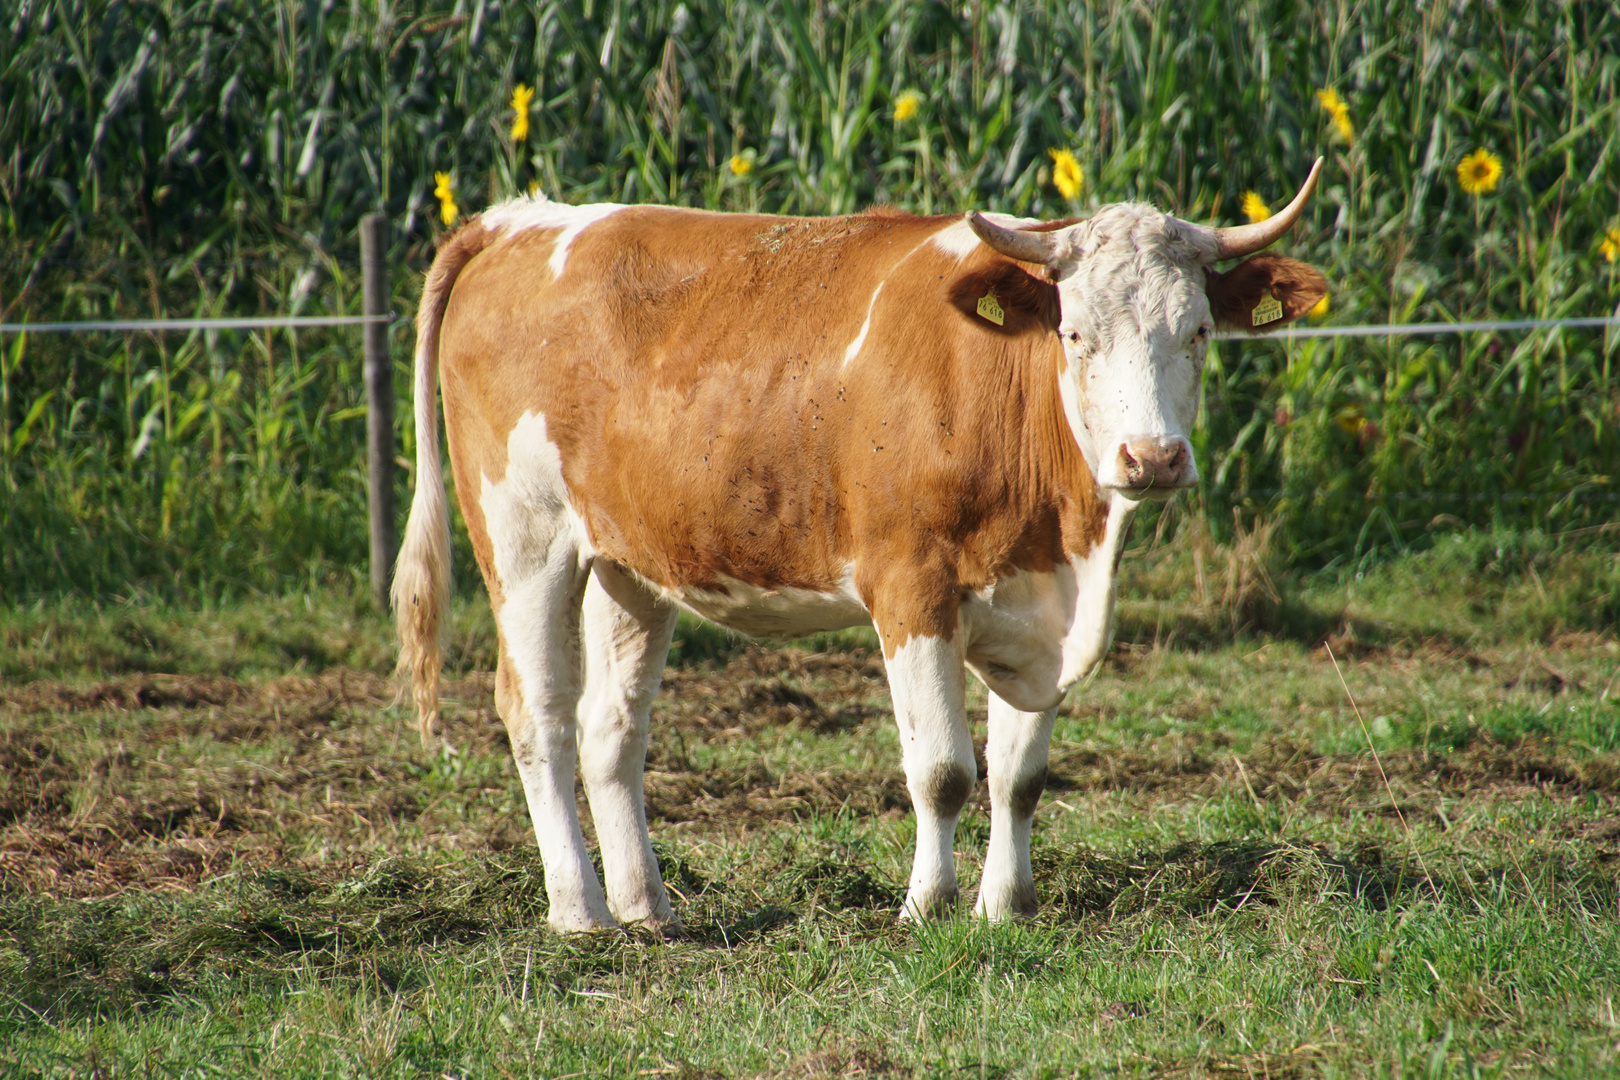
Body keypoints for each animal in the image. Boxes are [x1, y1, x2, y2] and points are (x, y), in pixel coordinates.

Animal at [392, 156, 1328, 932]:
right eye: (1075, 335)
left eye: (1198, 331)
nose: (1153, 458)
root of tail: (520, 221)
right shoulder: (909, 585)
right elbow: (944, 769)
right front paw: (926, 907)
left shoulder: (1041, 607)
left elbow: (1017, 775)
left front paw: (1006, 907)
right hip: (524, 537)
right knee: (537, 713)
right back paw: (579, 912)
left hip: (630, 563)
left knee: (609, 726)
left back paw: (645, 906)